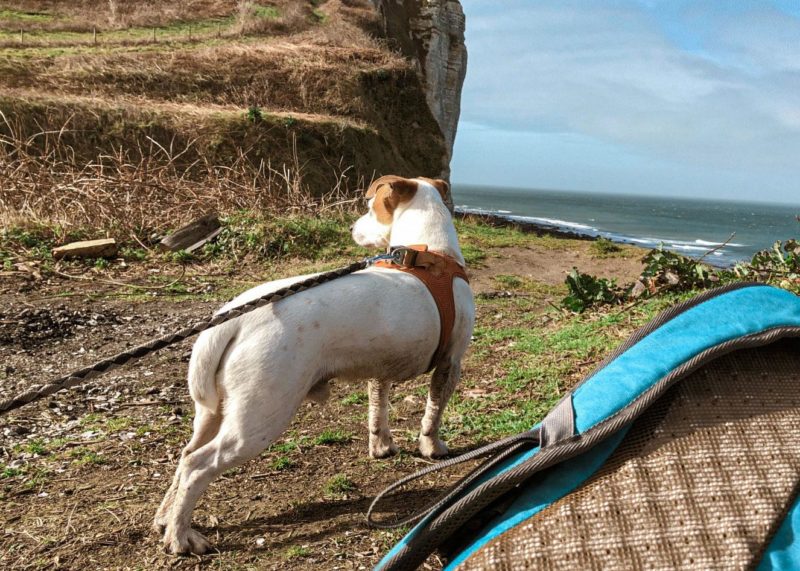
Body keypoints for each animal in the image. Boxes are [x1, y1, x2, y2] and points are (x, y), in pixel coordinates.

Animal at [155, 174, 476, 556]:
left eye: (370, 209)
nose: (351, 227)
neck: (426, 252)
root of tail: (234, 318)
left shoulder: (381, 369)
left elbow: (377, 408)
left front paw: (381, 445)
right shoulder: (450, 363)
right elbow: (433, 412)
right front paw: (432, 448)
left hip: (214, 410)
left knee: (186, 454)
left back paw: (166, 517)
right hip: (259, 419)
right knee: (197, 464)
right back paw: (181, 536)